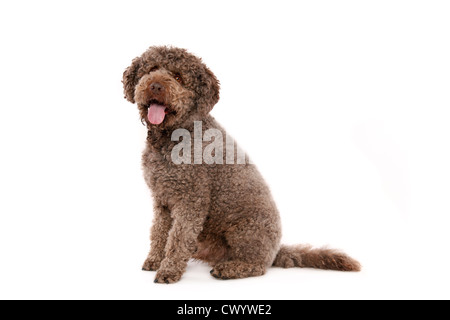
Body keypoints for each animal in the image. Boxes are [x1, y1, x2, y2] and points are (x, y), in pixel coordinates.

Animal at [121, 45, 360, 282]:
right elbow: (159, 232)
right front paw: (155, 260)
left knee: (258, 266)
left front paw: (168, 270)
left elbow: (178, 238)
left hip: (246, 230)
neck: (172, 137)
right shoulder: (162, 200)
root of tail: (276, 251)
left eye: (178, 77)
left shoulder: (190, 200)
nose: (155, 86)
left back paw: (230, 268)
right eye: (151, 69)